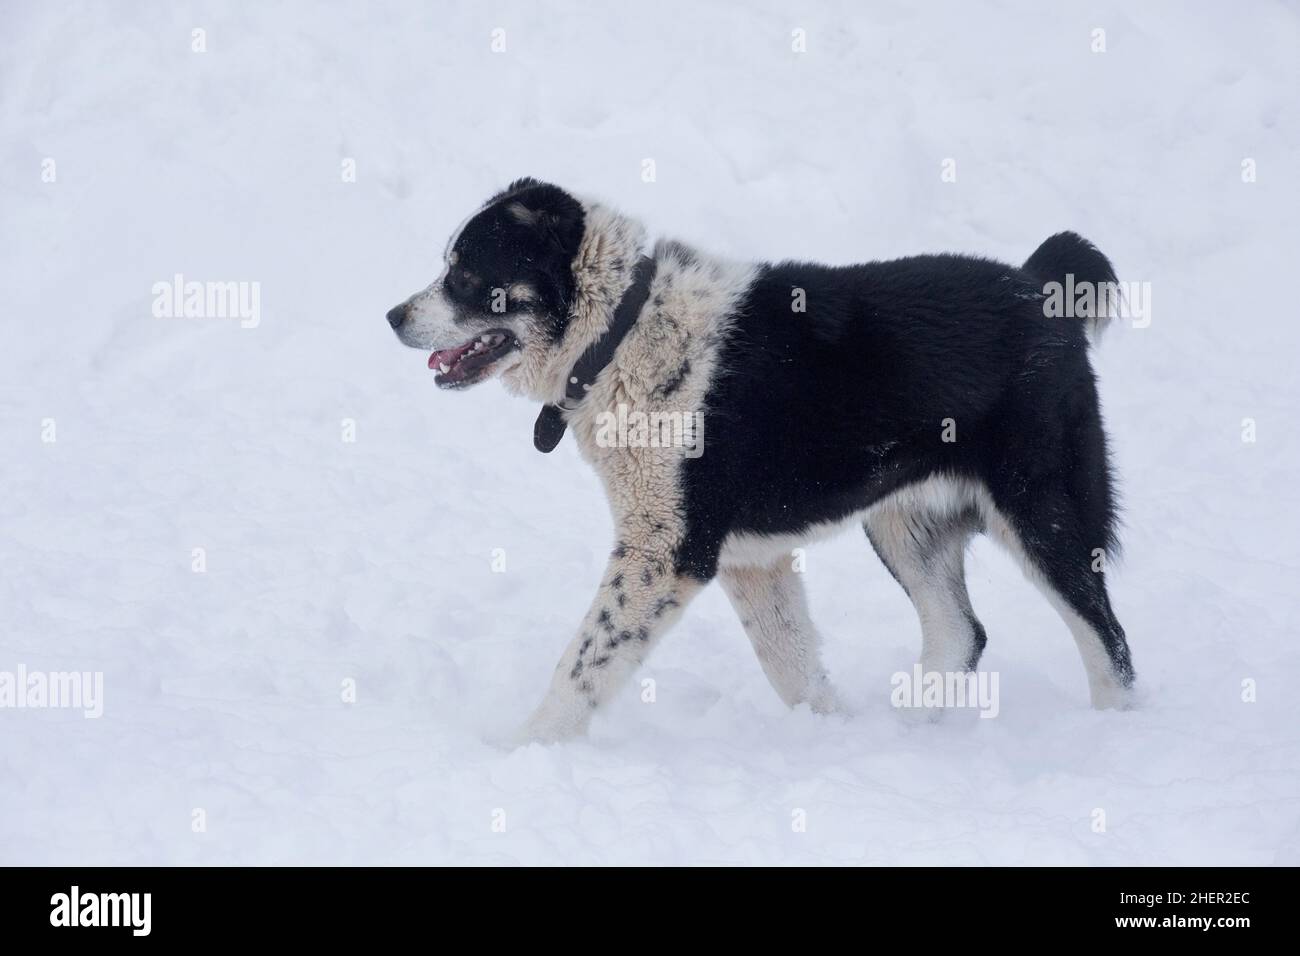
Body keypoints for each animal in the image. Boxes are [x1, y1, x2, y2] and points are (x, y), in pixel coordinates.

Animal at [379, 180, 1133, 749]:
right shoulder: (752, 561)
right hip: (903, 525)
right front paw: (827, 739)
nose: (393, 316)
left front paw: (525, 749)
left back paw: (1113, 737)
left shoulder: (664, 552)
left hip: (1043, 511)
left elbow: (584, 662)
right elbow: (790, 662)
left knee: (1108, 640)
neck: (621, 333)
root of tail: (1039, 286)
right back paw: (912, 732)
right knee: (960, 631)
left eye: (466, 276)